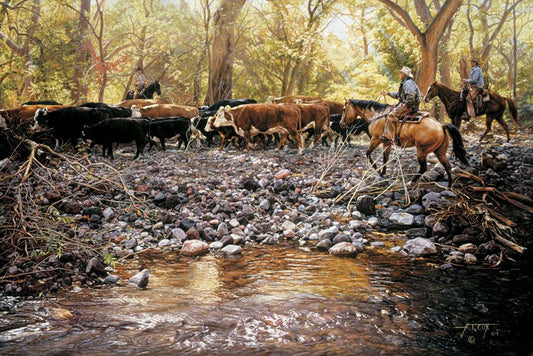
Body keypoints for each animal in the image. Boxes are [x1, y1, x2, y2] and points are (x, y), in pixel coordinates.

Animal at [338, 97, 468, 186]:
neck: (378, 116)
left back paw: (411, 182)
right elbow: (385, 158)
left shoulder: (376, 139)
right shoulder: (387, 143)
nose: (341, 124)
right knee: (447, 166)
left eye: (344, 109)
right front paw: (383, 173)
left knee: (423, 168)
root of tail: (441, 125)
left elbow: (368, 154)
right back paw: (449, 186)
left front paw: (377, 170)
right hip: (440, 152)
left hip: (422, 150)